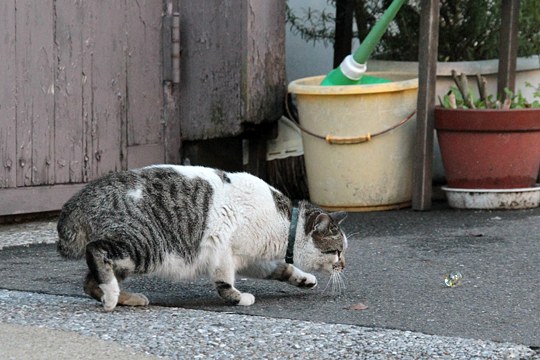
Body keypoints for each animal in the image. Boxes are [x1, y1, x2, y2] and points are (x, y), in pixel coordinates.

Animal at [57, 165, 348, 310]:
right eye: (337, 251)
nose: (344, 265)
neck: (284, 222)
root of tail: (81, 197)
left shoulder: (252, 258)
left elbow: (282, 269)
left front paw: (305, 278)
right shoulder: (223, 248)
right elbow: (224, 281)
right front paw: (237, 298)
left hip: (130, 256)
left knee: (89, 282)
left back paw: (123, 297)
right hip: (144, 245)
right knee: (96, 251)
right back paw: (112, 296)